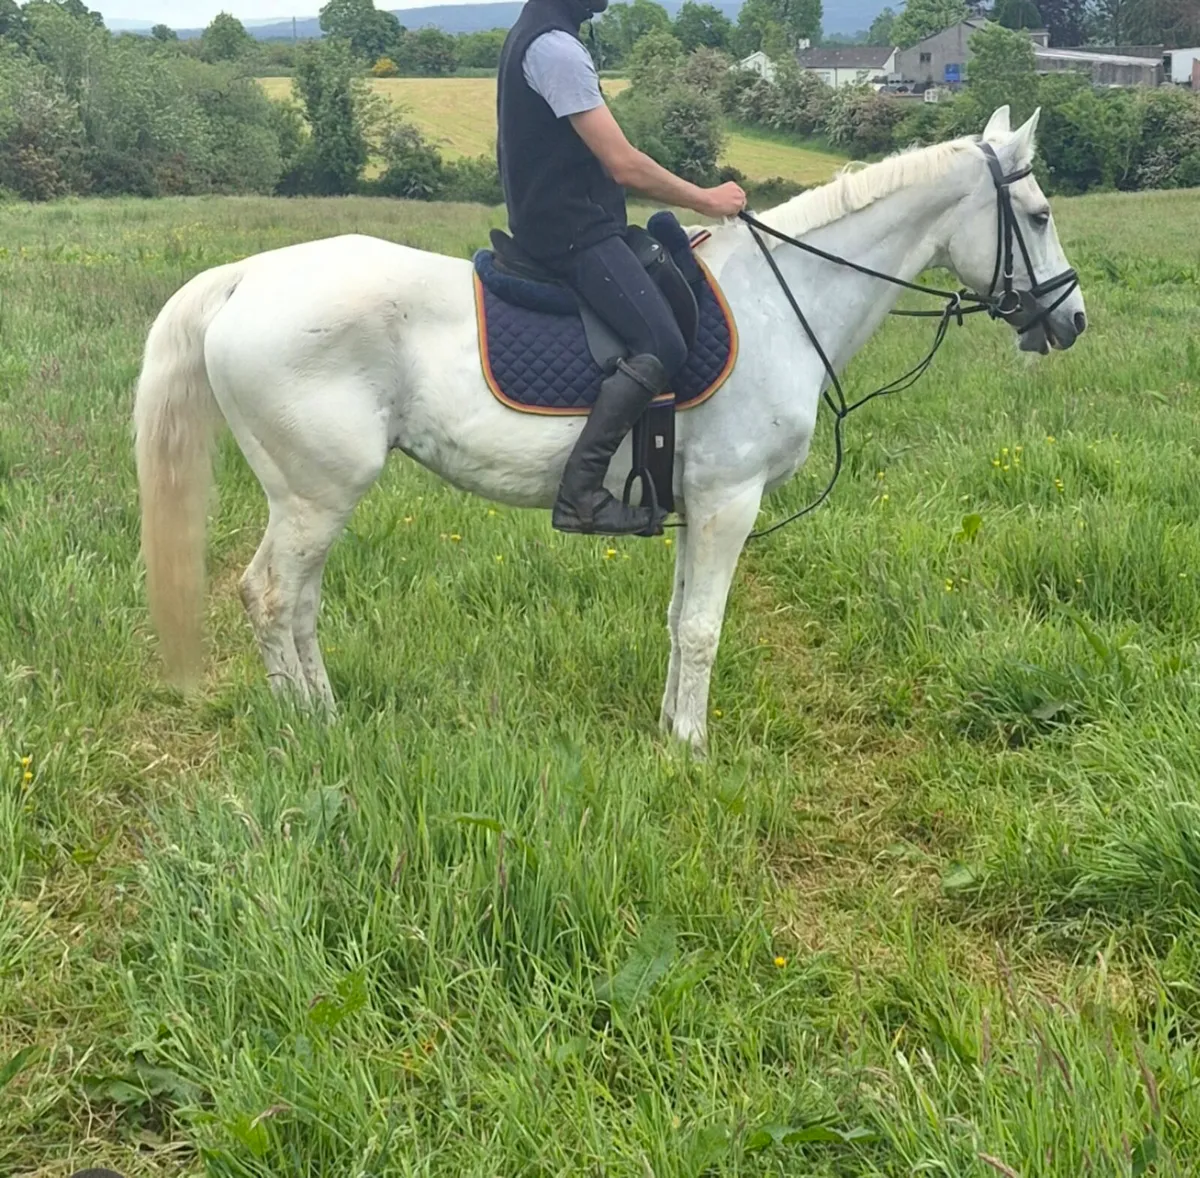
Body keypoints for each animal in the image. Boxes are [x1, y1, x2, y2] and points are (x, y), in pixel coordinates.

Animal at [133, 105, 1086, 753]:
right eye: (1039, 216)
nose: (1070, 322)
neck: (783, 302)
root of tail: (247, 277)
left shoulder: (694, 504)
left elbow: (675, 621)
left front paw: (669, 727)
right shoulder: (730, 501)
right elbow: (702, 629)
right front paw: (694, 752)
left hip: (311, 499)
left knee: (298, 602)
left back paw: (325, 714)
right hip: (317, 494)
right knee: (271, 596)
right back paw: (305, 727)